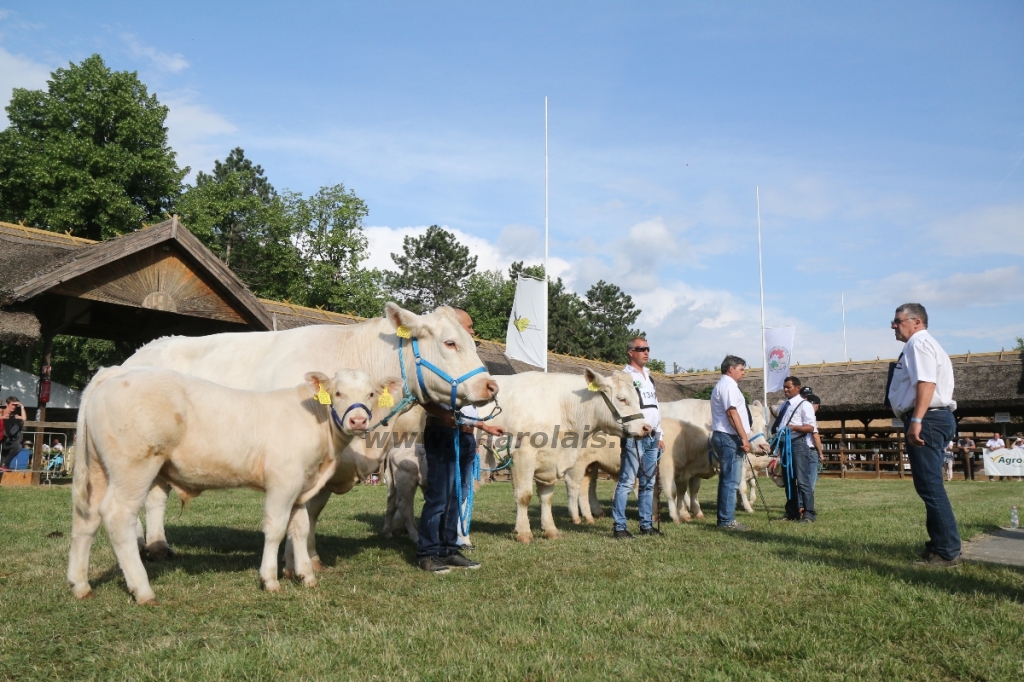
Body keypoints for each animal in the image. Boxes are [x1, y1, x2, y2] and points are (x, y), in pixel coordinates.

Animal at [64, 366, 391, 602]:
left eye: (371, 393)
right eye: (337, 392)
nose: (358, 421)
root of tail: (113, 374)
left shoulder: (302, 485)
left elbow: (299, 529)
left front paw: (306, 576)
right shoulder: (283, 481)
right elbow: (276, 529)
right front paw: (270, 579)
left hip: (98, 469)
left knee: (86, 519)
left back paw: (80, 585)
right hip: (133, 466)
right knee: (118, 516)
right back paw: (142, 590)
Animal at [112, 303, 495, 557]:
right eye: (450, 343)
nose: (491, 386)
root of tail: (138, 352)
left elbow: (312, 514)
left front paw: (309, 556)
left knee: (156, 495)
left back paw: (157, 546)